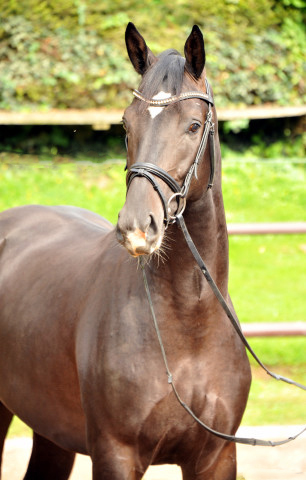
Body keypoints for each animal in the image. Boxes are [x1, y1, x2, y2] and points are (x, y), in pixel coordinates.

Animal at [0, 23, 251, 480]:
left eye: (193, 125)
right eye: (125, 124)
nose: (137, 226)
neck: (188, 329)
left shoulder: (217, 457)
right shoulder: (115, 454)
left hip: (51, 433)